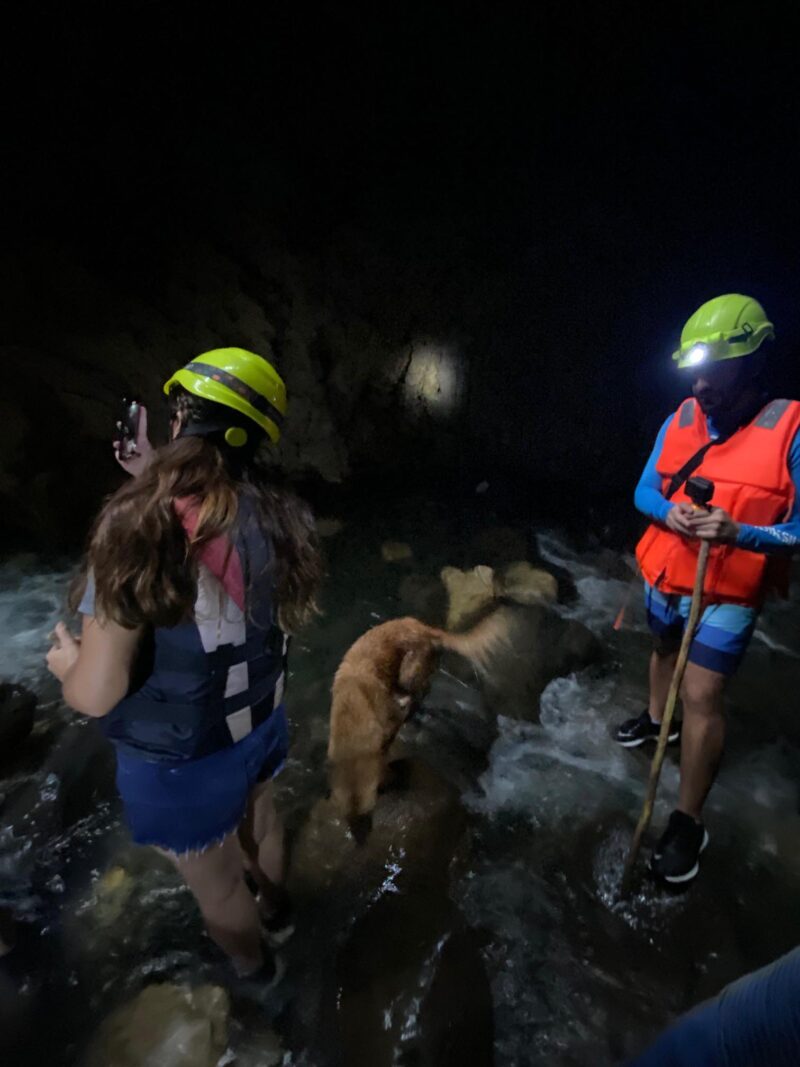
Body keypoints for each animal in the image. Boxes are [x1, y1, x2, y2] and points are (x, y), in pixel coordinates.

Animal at [326, 610, 507, 840]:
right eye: (348, 819)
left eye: (368, 813)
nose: (360, 842)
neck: (353, 710)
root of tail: (425, 628)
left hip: (410, 670)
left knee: (422, 688)